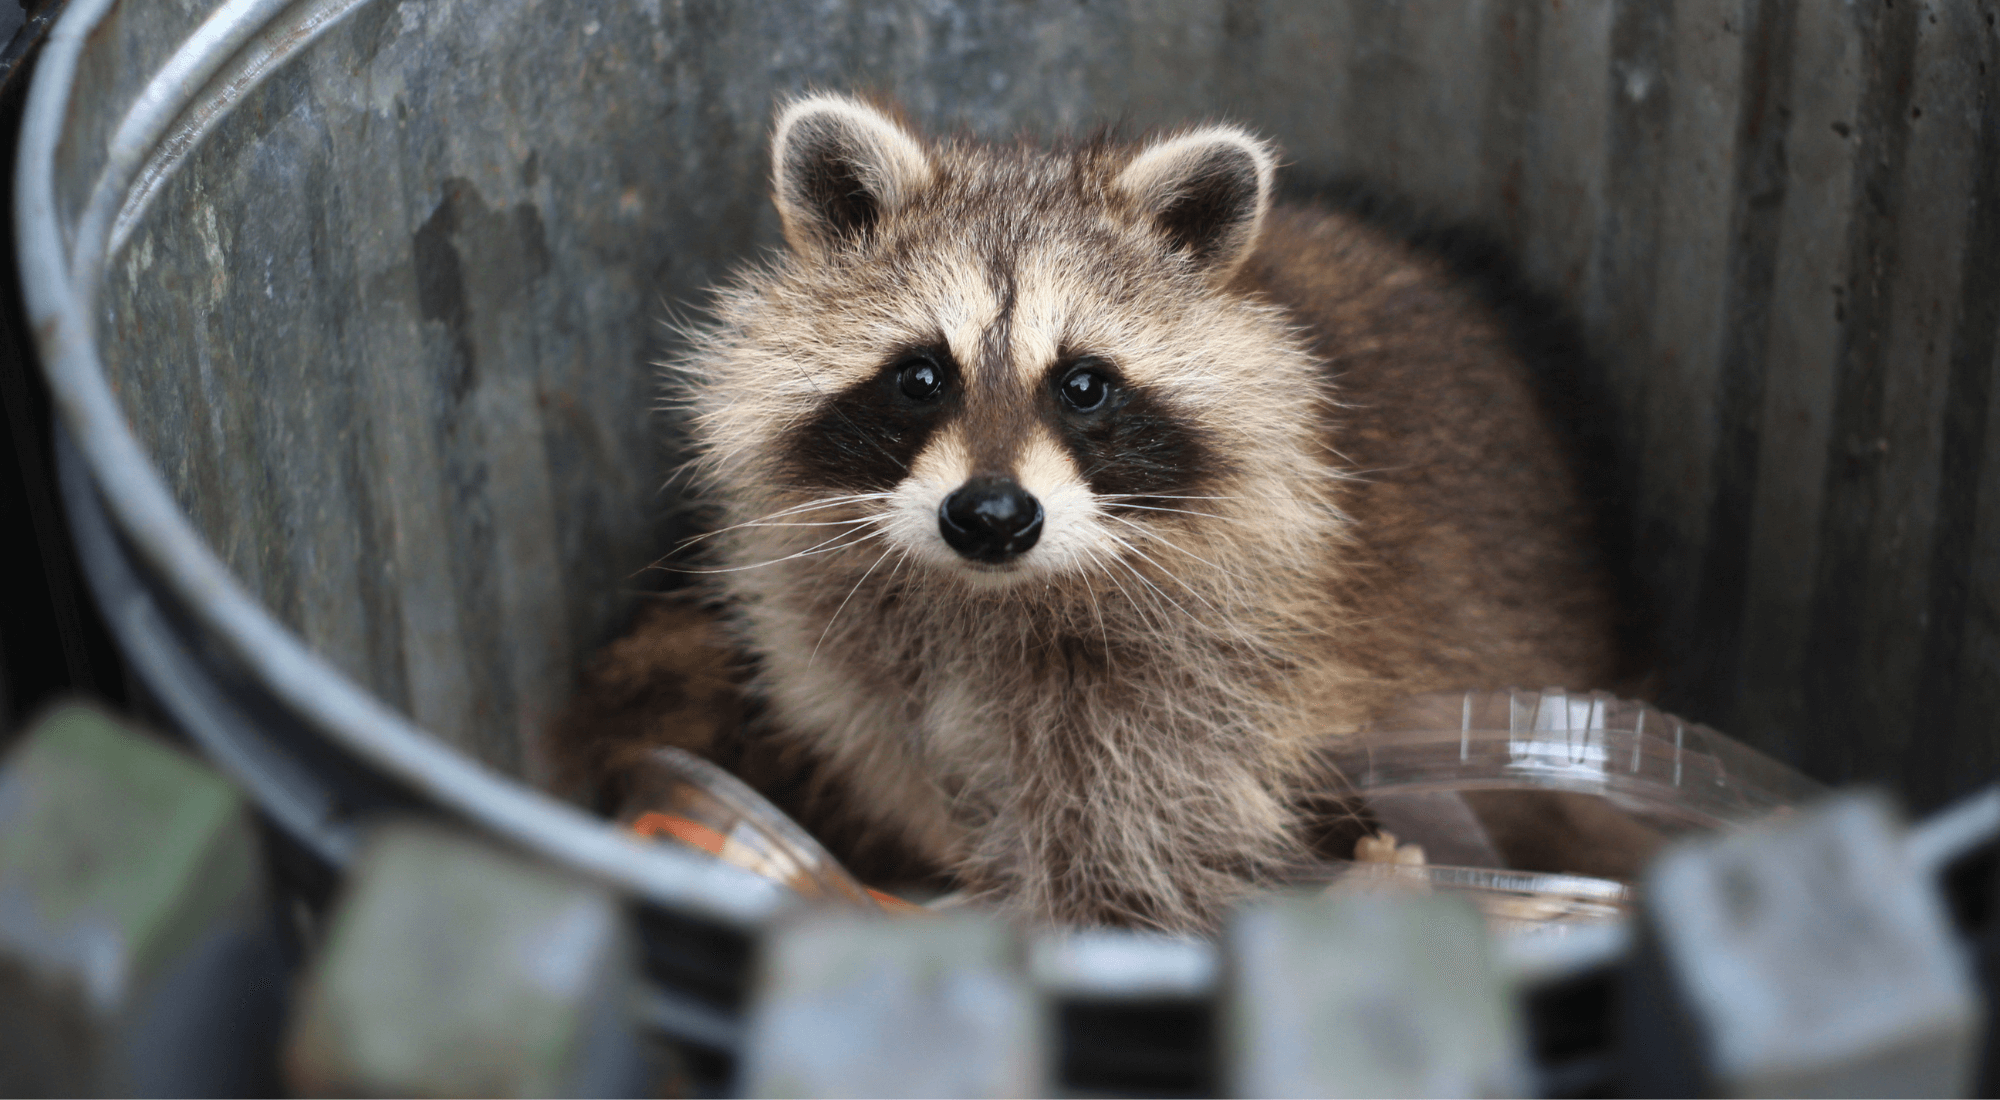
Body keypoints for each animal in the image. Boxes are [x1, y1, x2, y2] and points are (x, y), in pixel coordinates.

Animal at [668, 94, 1626, 931]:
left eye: (1085, 385)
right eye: (920, 376)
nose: (991, 516)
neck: (990, 598)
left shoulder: (1209, 678)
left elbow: (1132, 849)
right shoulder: (856, 658)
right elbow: (912, 764)